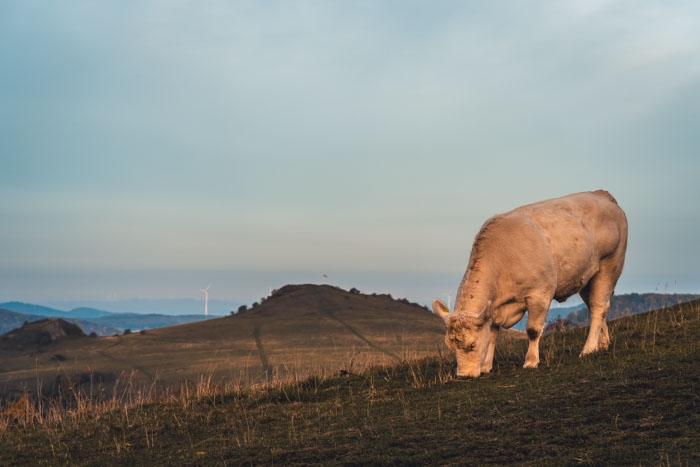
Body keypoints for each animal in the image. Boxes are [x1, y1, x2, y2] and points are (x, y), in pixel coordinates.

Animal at [432, 190, 628, 376]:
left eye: (472, 344)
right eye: (450, 346)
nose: (463, 375)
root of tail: (601, 194)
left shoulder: (539, 293)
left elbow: (532, 329)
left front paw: (531, 361)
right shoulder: (493, 308)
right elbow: (493, 334)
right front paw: (487, 365)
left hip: (610, 264)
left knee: (598, 307)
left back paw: (588, 349)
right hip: (587, 278)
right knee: (599, 307)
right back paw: (602, 344)